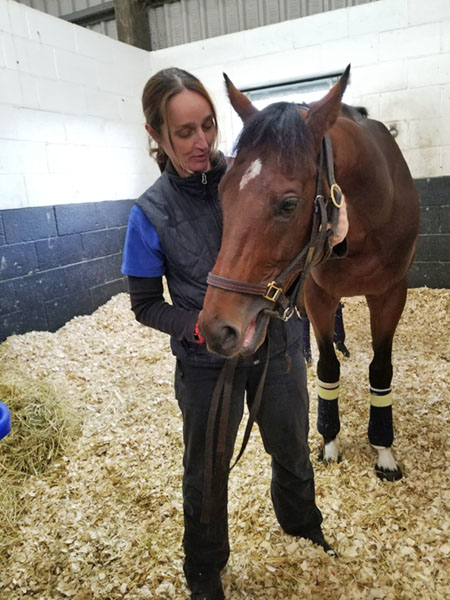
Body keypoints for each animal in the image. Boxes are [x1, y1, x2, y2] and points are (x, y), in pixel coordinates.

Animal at [199, 65, 420, 480]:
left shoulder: (391, 294)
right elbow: (327, 366)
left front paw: (384, 451)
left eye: (289, 204)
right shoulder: (317, 294)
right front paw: (330, 440)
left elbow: (381, 370)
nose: (216, 329)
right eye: (222, 192)